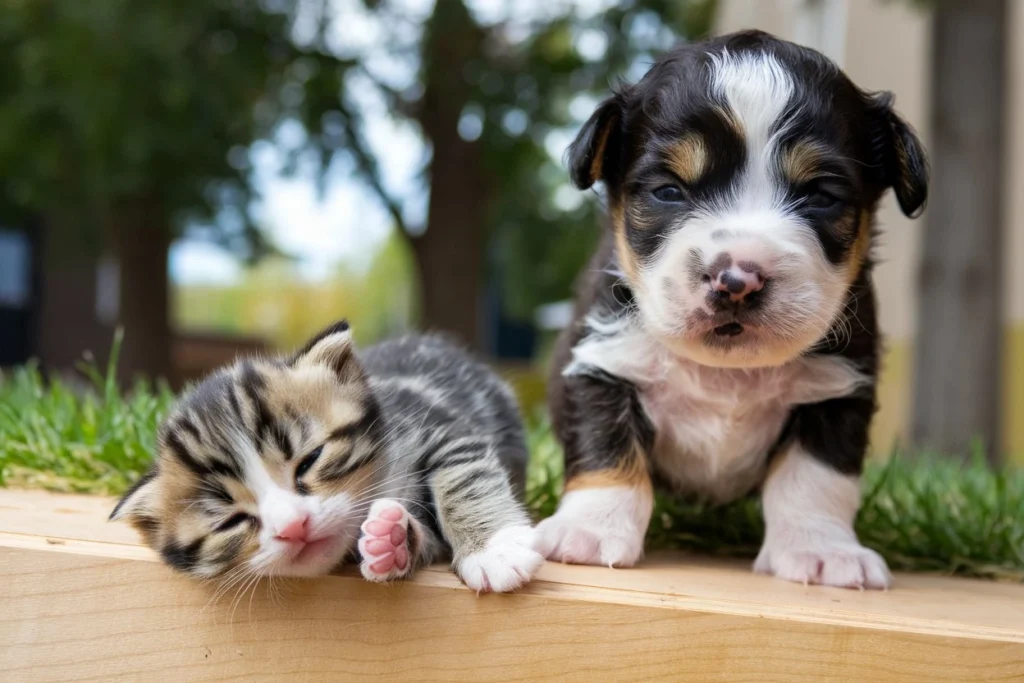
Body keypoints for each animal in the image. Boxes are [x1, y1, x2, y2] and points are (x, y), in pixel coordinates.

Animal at [110, 321, 544, 593]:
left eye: (310, 460)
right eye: (230, 522)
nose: (294, 526)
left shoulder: (442, 430)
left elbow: (464, 479)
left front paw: (494, 549)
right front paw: (391, 541)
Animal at [536, 29, 929, 589]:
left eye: (821, 196)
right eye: (668, 190)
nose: (738, 281)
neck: (728, 375)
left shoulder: (838, 388)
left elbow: (816, 478)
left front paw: (821, 551)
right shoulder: (602, 362)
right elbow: (606, 448)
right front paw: (590, 530)